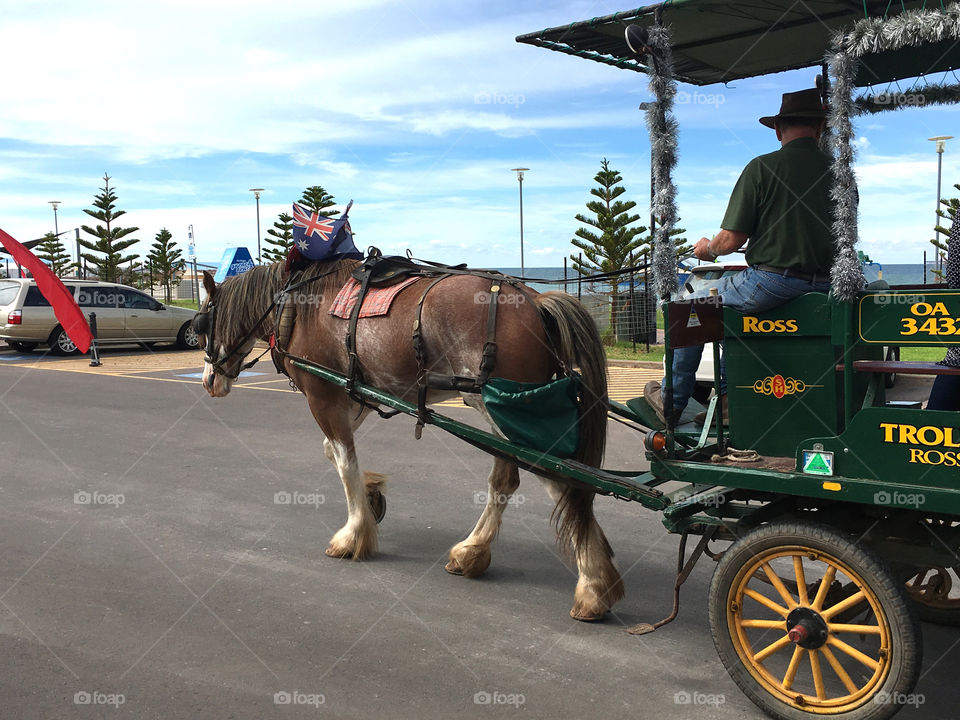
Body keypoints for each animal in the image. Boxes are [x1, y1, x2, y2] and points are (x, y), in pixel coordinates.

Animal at [199, 260, 628, 620]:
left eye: (203, 323)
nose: (208, 380)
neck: (297, 306)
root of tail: (534, 299)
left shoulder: (324, 395)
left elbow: (344, 461)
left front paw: (354, 532)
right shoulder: (356, 393)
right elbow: (336, 455)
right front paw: (372, 495)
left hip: (507, 411)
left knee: (558, 481)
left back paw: (592, 584)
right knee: (518, 482)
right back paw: (480, 553)